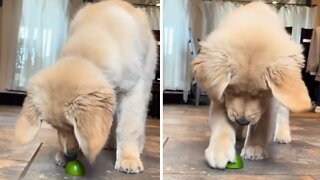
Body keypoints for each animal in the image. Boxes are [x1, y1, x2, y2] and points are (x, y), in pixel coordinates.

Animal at [14, 0, 157, 174]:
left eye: (72, 127)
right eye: (55, 127)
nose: (68, 155)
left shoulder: (132, 89)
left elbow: (129, 127)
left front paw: (128, 158)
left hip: (146, 78)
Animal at [191, 2, 312, 169]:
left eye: (261, 93)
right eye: (231, 90)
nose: (242, 121)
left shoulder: (269, 101)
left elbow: (261, 124)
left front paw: (255, 148)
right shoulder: (219, 97)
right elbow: (222, 124)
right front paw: (219, 150)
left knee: (283, 112)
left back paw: (282, 134)